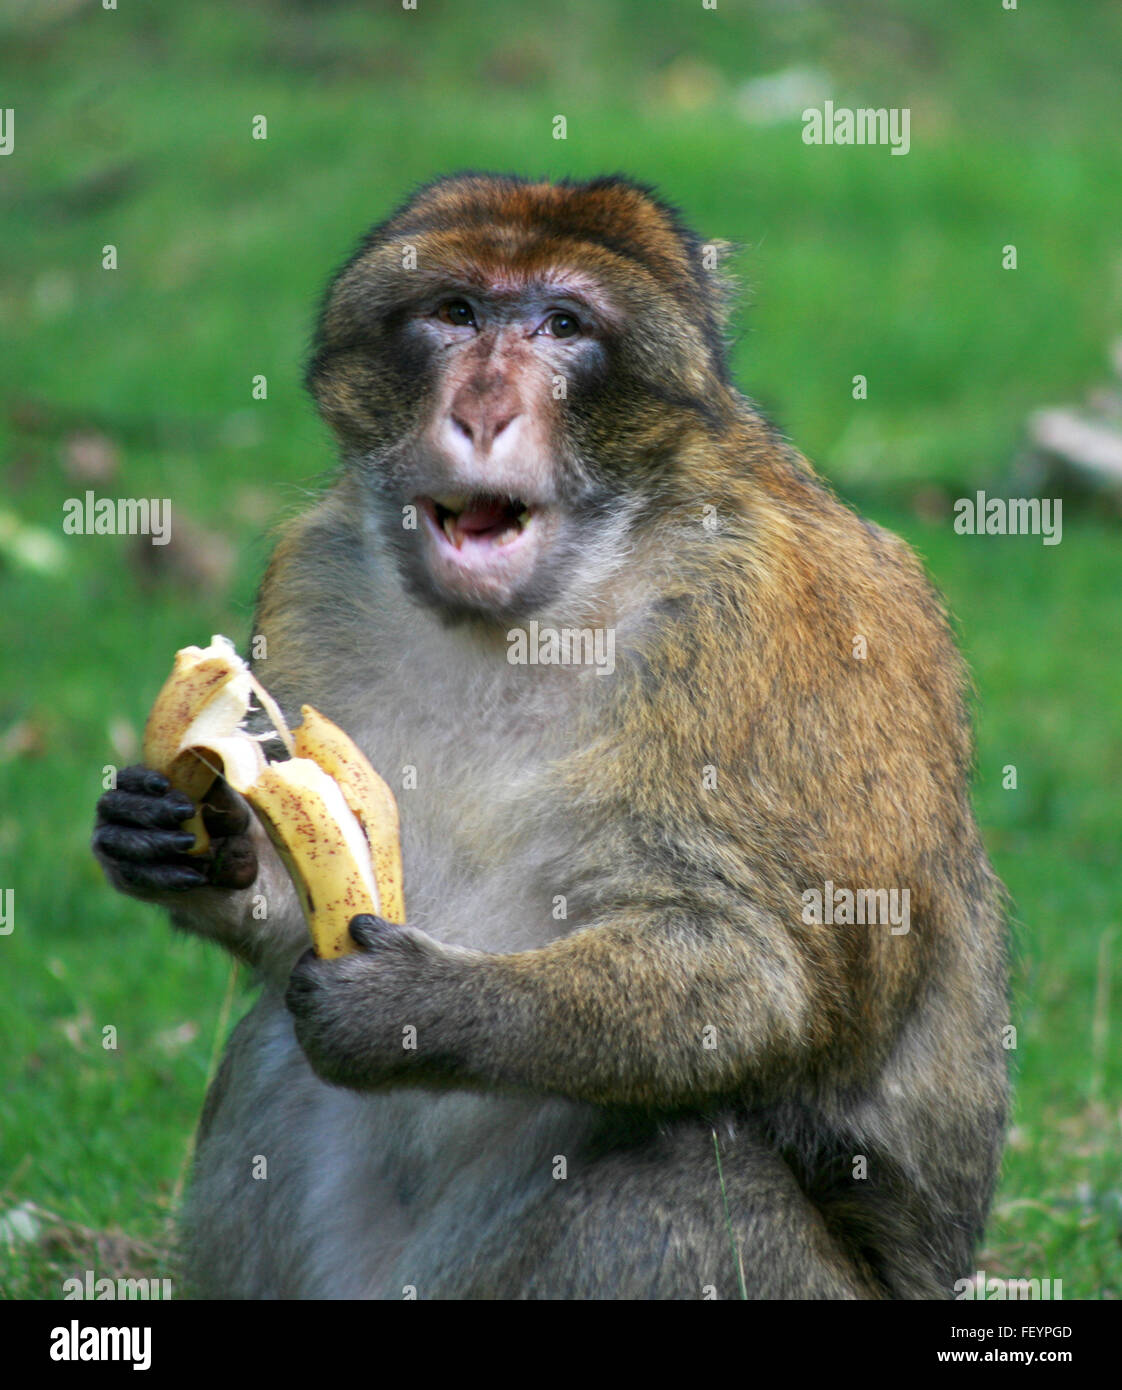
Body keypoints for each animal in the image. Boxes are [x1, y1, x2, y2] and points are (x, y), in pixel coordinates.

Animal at [92, 172, 1008, 1300]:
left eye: (564, 325)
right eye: (457, 312)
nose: (483, 409)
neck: (550, 600)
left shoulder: (780, 622)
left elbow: (763, 978)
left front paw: (420, 1007)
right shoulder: (314, 573)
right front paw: (192, 839)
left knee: (682, 1176)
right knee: (271, 1054)